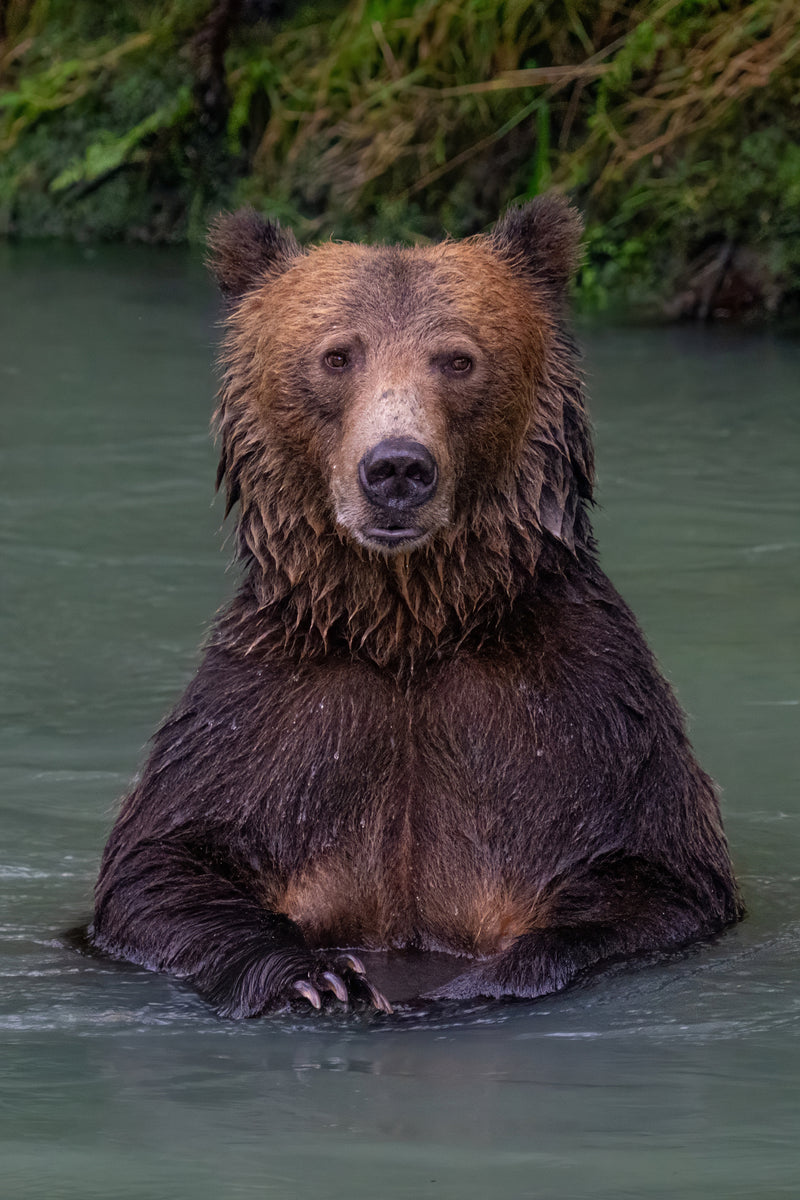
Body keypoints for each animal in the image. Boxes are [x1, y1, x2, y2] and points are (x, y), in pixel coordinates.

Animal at [91, 195, 742, 1017]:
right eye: (337, 355)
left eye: (458, 359)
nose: (396, 468)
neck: (410, 629)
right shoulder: (272, 717)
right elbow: (160, 866)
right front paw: (318, 976)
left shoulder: (583, 715)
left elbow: (655, 877)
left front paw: (472, 984)